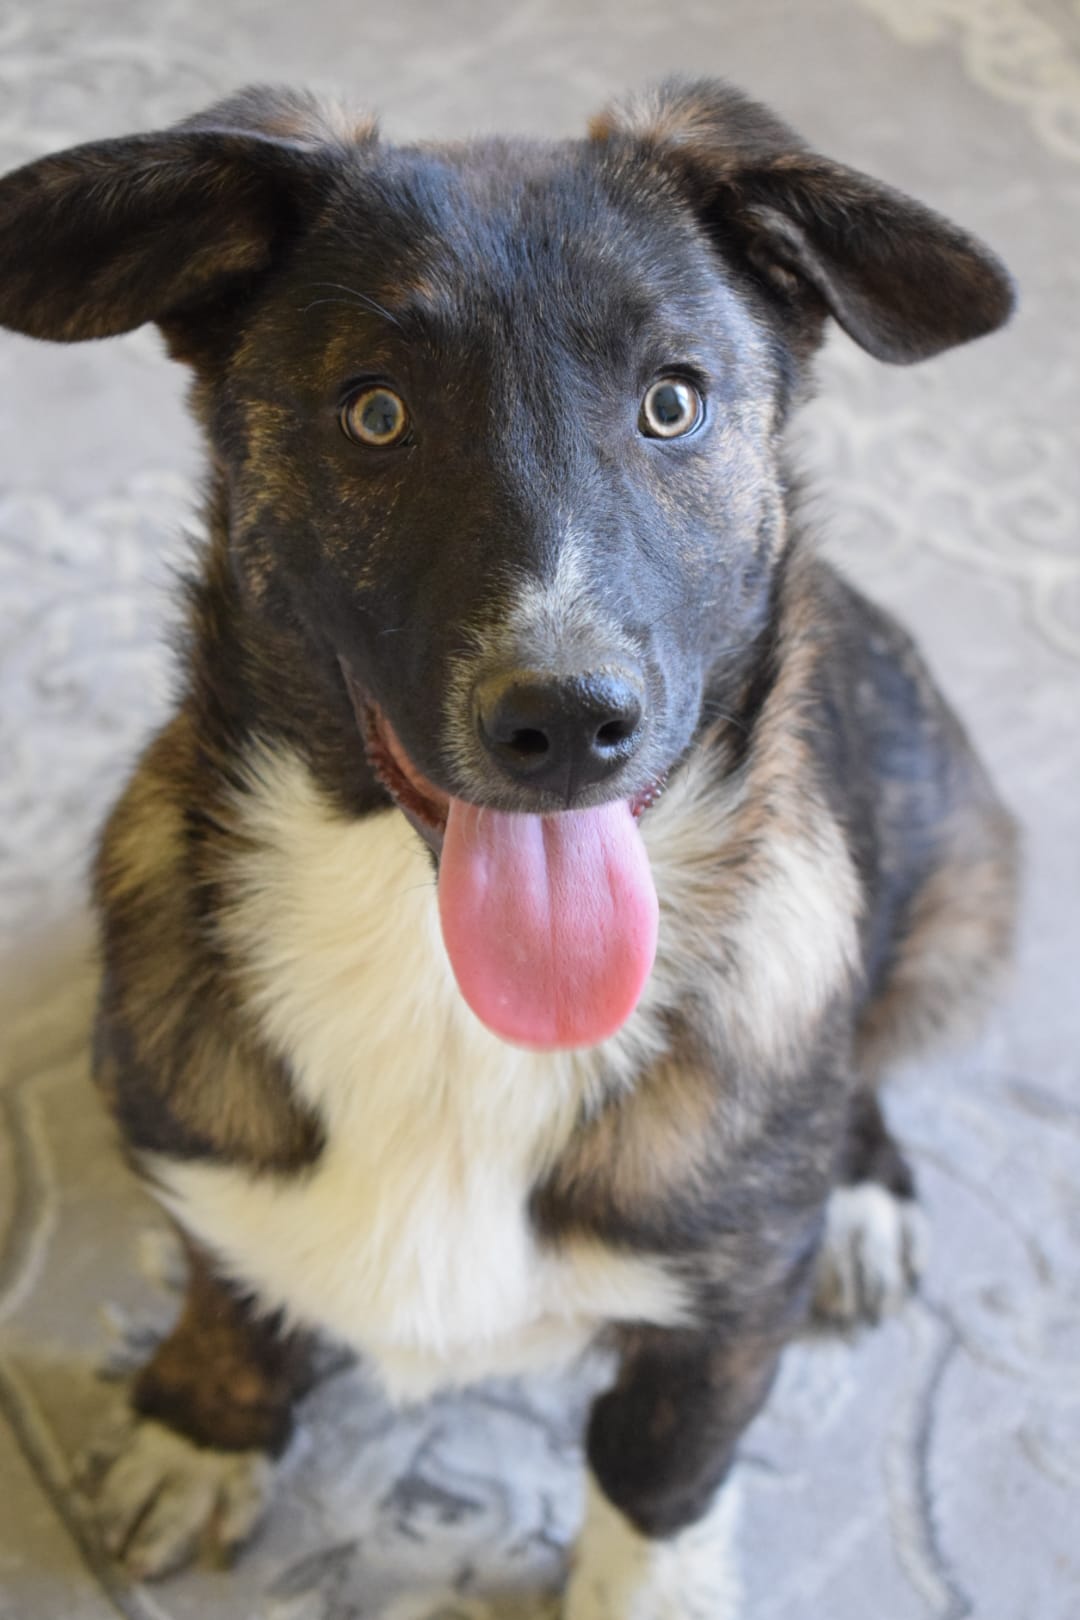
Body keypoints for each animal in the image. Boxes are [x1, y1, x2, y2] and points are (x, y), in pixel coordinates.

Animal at [0, 78, 1018, 1615]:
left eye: (672, 402)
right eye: (375, 412)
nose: (568, 723)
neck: (443, 987)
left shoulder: (729, 1310)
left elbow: (664, 1452)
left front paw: (647, 1586)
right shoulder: (194, 1151)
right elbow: (227, 1281)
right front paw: (204, 1424)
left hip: (962, 898)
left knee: (876, 1052)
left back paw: (863, 1195)